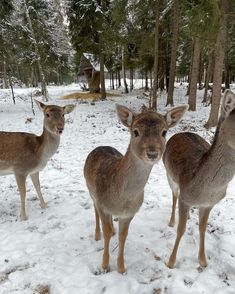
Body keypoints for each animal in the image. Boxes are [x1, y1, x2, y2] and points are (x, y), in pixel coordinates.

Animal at [83, 103, 188, 274]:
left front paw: (121, 268)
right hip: (90, 190)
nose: (152, 153)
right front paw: (105, 265)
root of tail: (99, 146)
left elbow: (123, 236)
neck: (121, 199)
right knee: (95, 210)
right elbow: (106, 232)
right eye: (136, 131)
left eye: (164, 132)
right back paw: (97, 234)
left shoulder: (130, 213)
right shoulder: (103, 204)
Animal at [163, 89, 235, 268]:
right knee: (174, 195)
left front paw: (203, 261)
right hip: (169, 174)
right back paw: (172, 221)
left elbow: (202, 228)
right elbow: (181, 229)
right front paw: (171, 261)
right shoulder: (185, 195)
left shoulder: (209, 204)